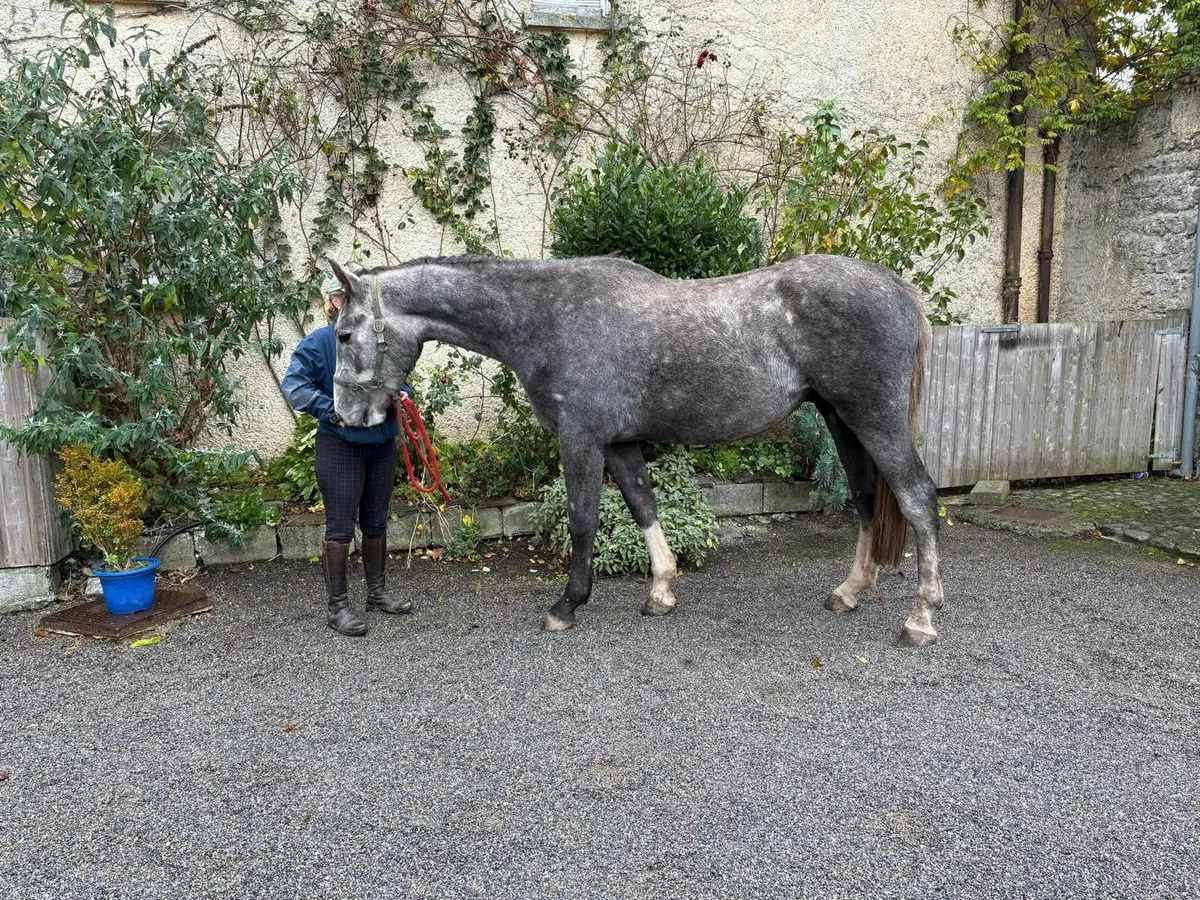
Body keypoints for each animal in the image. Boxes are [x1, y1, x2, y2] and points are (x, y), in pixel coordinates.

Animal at [328, 254, 943, 647]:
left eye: (343, 334)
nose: (347, 417)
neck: (545, 317)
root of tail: (899, 289)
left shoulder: (579, 438)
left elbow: (583, 520)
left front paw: (567, 606)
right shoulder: (619, 442)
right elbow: (643, 505)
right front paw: (661, 592)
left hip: (874, 418)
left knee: (918, 498)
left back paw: (920, 619)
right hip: (841, 418)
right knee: (866, 498)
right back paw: (850, 592)